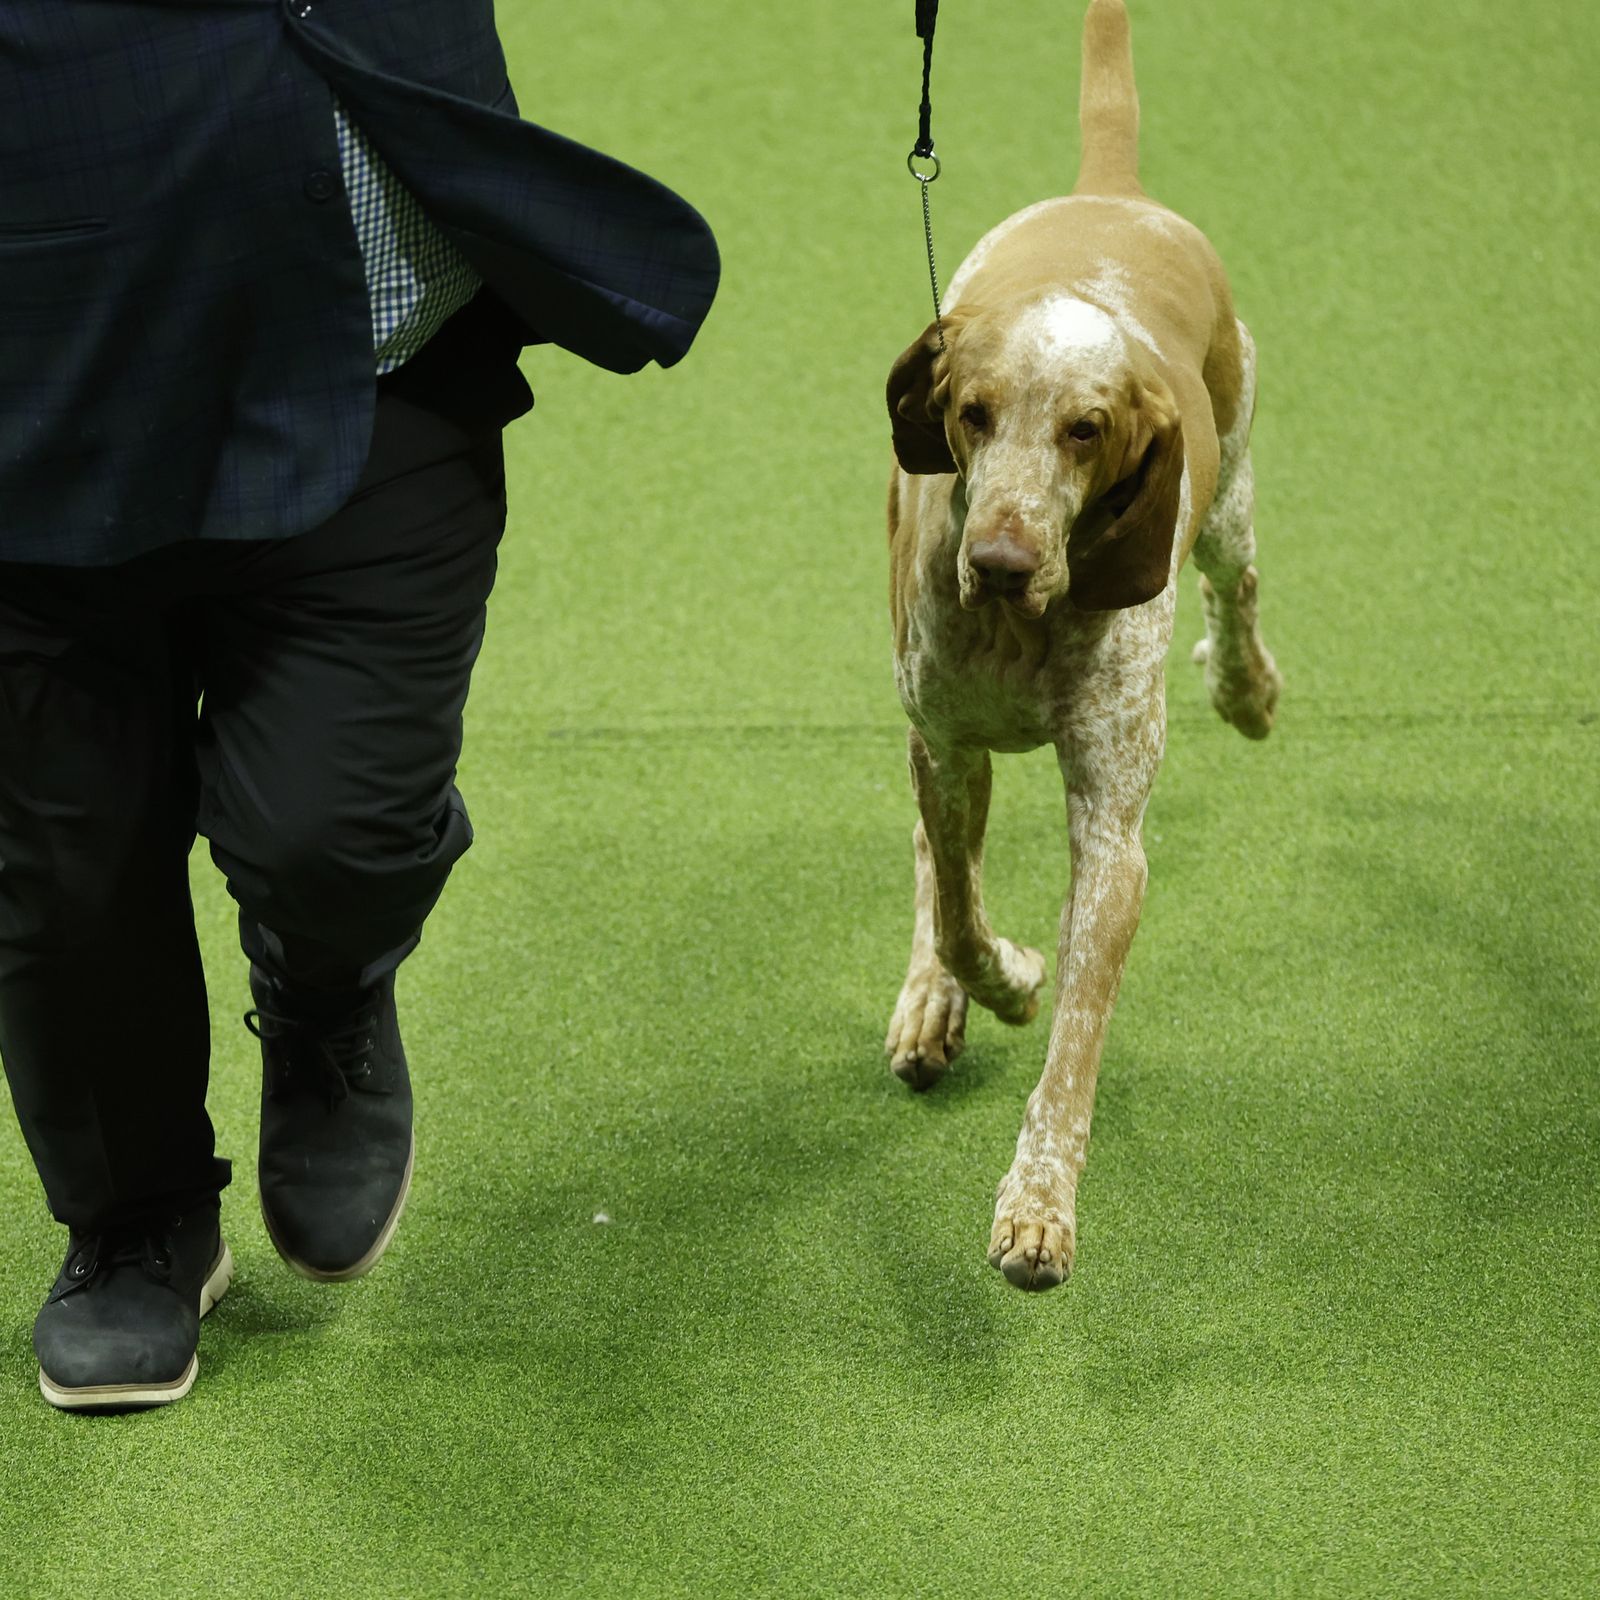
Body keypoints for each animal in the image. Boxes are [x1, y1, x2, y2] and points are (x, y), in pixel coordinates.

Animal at [883, 0, 1280, 1286]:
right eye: (970, 413)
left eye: (1086, 429)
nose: (1001, 560)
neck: (1024, 624)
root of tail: (1109, 190)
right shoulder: (946, 741)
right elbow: (961, 913)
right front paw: (995, 982)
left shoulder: (1111, 834)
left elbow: (1074, 1045)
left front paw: (1038, 1203)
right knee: (932, 858)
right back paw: (930, 998)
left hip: (1230, 488)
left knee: (1237, 582)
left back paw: (1246, 686)